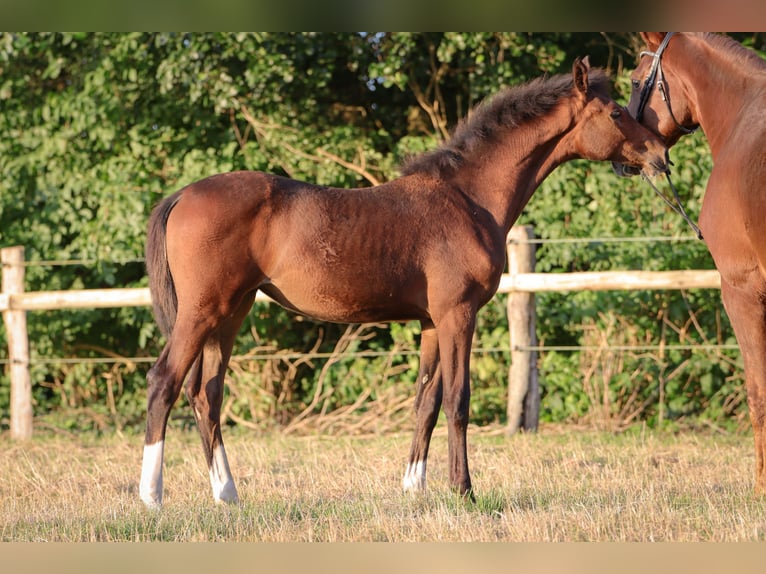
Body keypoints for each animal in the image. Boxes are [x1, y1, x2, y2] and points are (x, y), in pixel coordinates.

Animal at [141, 57, 668, 508]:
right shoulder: (458, 315)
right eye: (617, 112)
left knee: (206, 395)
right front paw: (464, 491)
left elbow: (426, 401)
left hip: (232, 313)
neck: (467, 198)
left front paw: (414, 488)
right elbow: (458, 400)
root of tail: (182, 195)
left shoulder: (432, 322)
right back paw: (151, 497)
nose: (662, 156)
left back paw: (227, 495)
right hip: (202, 312)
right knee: (164, 382)